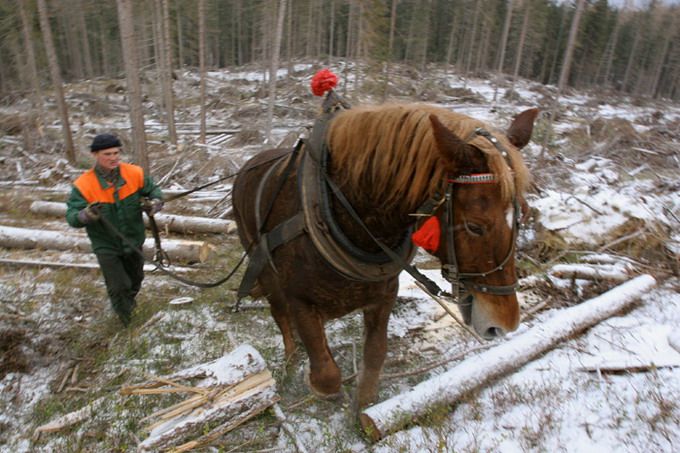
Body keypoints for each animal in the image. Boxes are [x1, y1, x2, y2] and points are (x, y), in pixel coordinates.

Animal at [231, 103, 540, 410]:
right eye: (475, 226)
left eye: (523, 214)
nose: (504, 323)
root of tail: (249, 163)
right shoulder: (300, 301)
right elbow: (326, 373)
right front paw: (317, 382)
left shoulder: (384, 294)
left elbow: (375, 354)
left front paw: (364, 405)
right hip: (264, 270)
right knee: (279, 313)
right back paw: (292, 359)